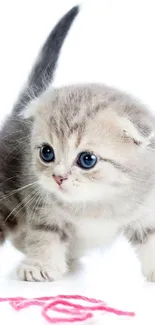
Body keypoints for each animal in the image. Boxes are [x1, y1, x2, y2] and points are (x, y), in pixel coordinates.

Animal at [0, 9, 155, 284]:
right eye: (47, 153)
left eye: (87, 159)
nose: (59, 177)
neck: (95, 202)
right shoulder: (42, 206)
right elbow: (45, 234)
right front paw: (40, 264)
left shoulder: (146, 209)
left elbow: (150, 238)